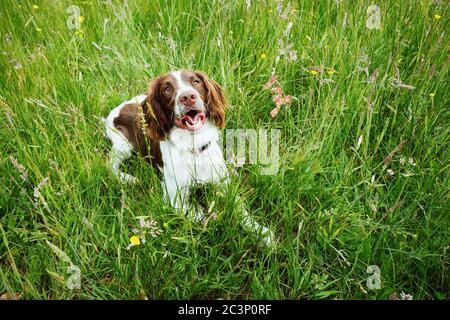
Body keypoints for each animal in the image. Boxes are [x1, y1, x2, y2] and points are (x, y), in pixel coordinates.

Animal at [104, 69, 274, 245]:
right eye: (167, 89)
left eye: (196, 82)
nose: (187, 97)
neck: (193, 147)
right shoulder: (173, 197)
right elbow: (202, 217)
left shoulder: (223, 183)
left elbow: (240, 208)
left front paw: (262, 233)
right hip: (124, 145)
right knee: (110, 163)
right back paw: (128, 178)